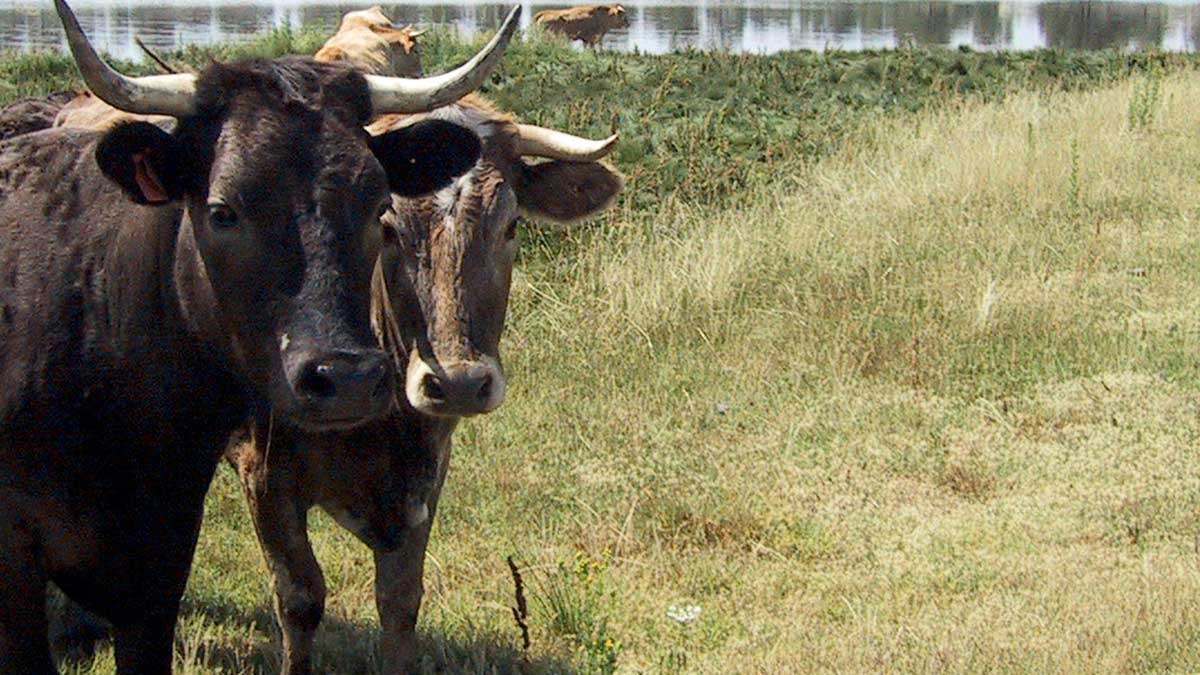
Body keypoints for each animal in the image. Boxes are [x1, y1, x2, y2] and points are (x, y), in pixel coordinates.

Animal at [0, 0, 519, 672]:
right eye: (223, 210)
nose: (347, 380)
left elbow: (396, 601)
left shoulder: (163, 557)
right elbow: (301, 595)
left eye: (376, 199)